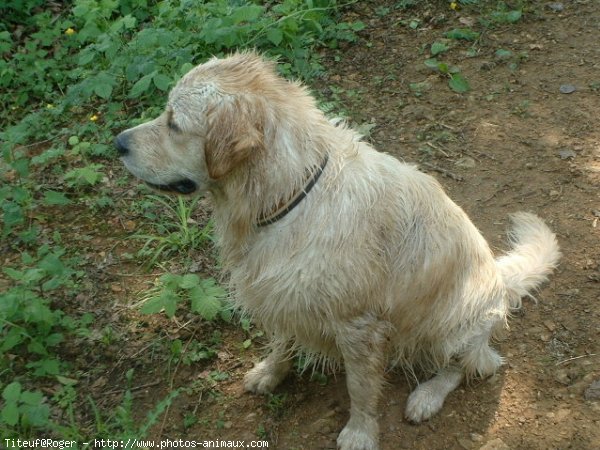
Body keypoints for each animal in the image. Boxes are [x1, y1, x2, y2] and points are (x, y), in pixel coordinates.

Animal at [115, 51, 560, 450]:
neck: (290, 193)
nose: (118, 142)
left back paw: (427, 396)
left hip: (456, 323)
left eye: (174, 123)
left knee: (473, 365)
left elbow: (360, 388)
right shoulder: (280, 293)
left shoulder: (358, 325)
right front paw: (270, 372)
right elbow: (281, 341)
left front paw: (360, 434)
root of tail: (500, 280)